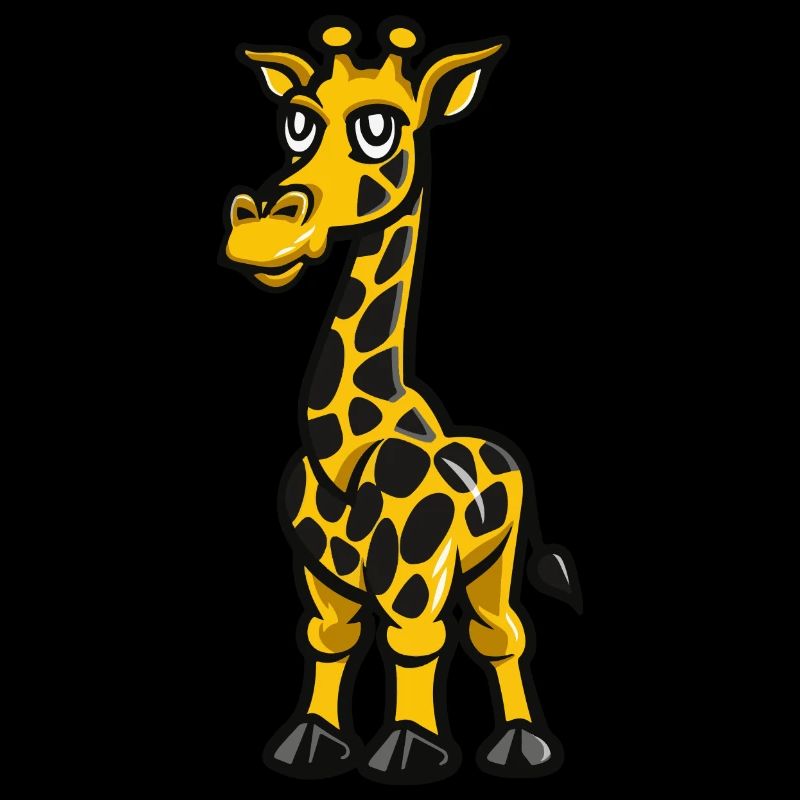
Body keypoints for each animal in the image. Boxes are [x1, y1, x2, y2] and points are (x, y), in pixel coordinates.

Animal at [222, 17, 582, 784]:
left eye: (378, 129)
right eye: (296, 123)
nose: (263, 232)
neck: (343, 446)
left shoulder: (418, 572)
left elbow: (415, 641)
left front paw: (410, 752)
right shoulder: (317, 571)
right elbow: (327, 636)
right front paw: (309, 744)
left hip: (495, 556)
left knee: (501, 629)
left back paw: (522, 747)